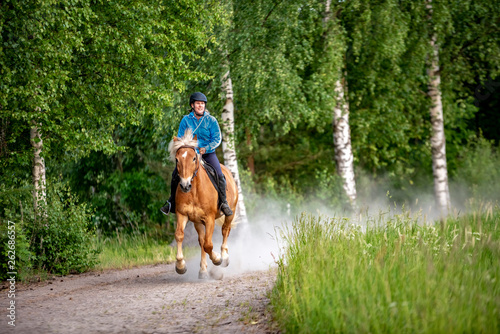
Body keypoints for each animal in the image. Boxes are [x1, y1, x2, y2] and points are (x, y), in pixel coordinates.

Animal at [168, 129, 238, 278]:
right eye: (177, 159)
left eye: (194, 158)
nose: (185, 185)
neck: (194, 191)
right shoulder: (182, 214)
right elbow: (180, 235)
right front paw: (180, 266)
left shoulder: (210, 218)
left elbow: (208, 244)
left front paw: (217, 259)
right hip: (197, 221)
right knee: (201, 241)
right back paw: (203, 270)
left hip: (231, 212)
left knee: (225, 230)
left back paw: (224, 257)